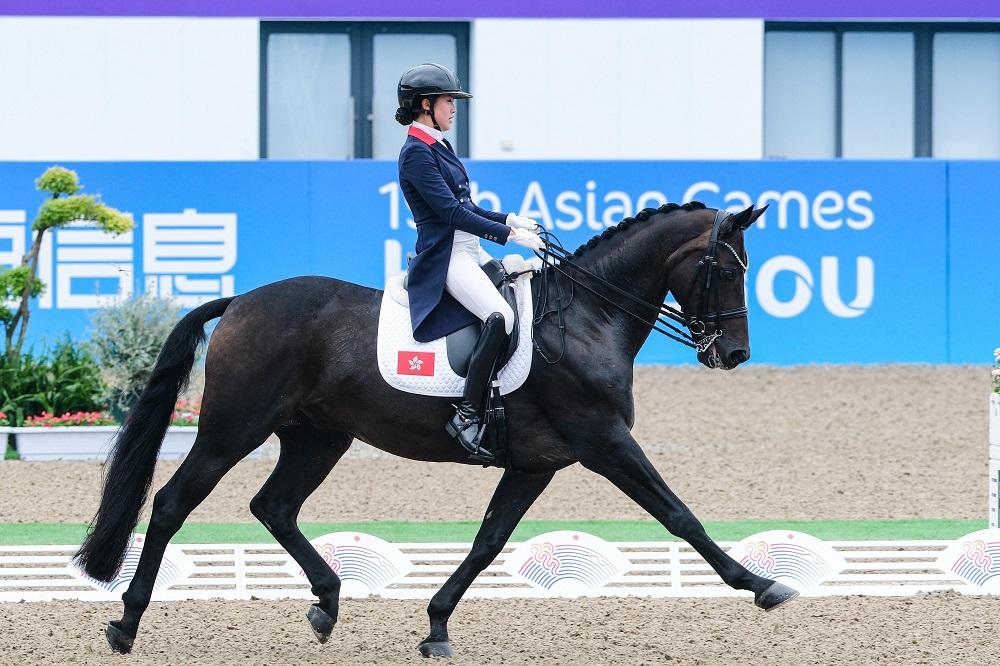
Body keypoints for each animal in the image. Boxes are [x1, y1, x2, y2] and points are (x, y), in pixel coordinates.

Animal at [75, 201, 795, 658]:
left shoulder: (536, 462)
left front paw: (437, 626)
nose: (734, 355)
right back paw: (126, 623)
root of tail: (242, 302)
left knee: (273, 505)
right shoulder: (603, 441)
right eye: (725, 268)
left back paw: (327, 602)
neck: (586, 319)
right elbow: (680, 514)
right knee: (171, 504)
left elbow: (487, 541)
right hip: (233, 430)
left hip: (318, 437)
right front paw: (761, 585)